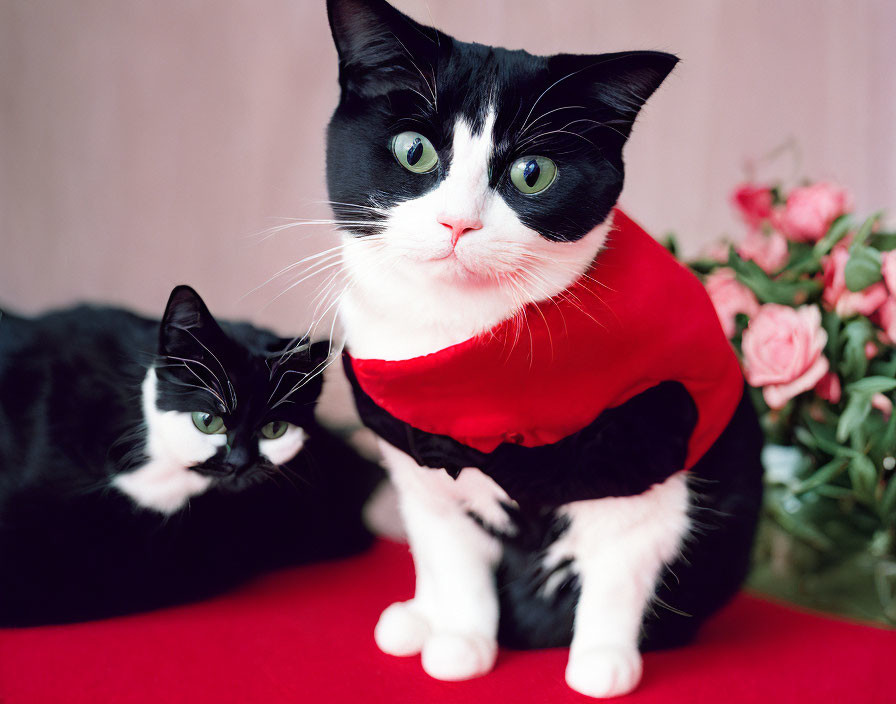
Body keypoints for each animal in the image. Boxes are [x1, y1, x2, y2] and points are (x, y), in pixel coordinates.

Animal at [322, 0, 764, 700]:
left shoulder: (649, 437)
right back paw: (420, 618)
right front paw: (462, 641)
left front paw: (601, 659)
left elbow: (620, 560)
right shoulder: (416, 460)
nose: (458, 223)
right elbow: (453, 560)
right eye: (414, 151)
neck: (463, 351)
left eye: (533, 174)